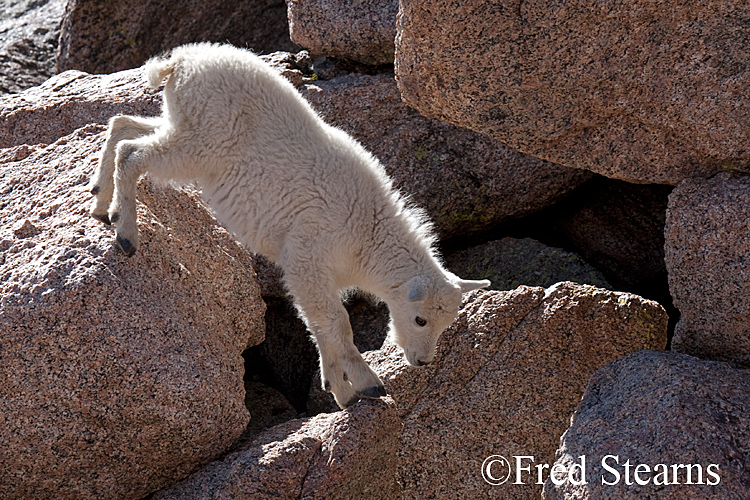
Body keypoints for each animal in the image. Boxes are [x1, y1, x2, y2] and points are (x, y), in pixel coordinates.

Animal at [88, 43, 490, 408]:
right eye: (420, 320)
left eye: (445, 323)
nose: (421, 361)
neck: (368, 235)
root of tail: (181, 61)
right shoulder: (308, 255)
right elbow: (335, 321)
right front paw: (368, 384)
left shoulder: (313, 274)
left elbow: (317, 323)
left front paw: (338, 390)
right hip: (202, 142)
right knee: (134, 153)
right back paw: (125, 230)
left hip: (181, 123)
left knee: (124, 126)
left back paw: (100, 200)